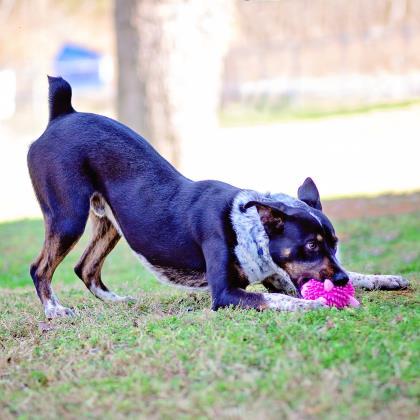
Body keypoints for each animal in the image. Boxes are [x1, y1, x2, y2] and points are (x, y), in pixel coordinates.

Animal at [26, 76, 406, 318]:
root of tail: (62, 115)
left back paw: (118, 301)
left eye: (334, 243)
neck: (247, 226)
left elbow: (340, 278)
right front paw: (315, 304)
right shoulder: (225, 294)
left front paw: (385, 278)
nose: (339, 282)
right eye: (311, 246)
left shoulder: (275, 275)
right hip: (68, 217)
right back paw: (55, 310)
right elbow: (278, 300)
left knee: (85, 267)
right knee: (39, 268)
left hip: (109, 223)